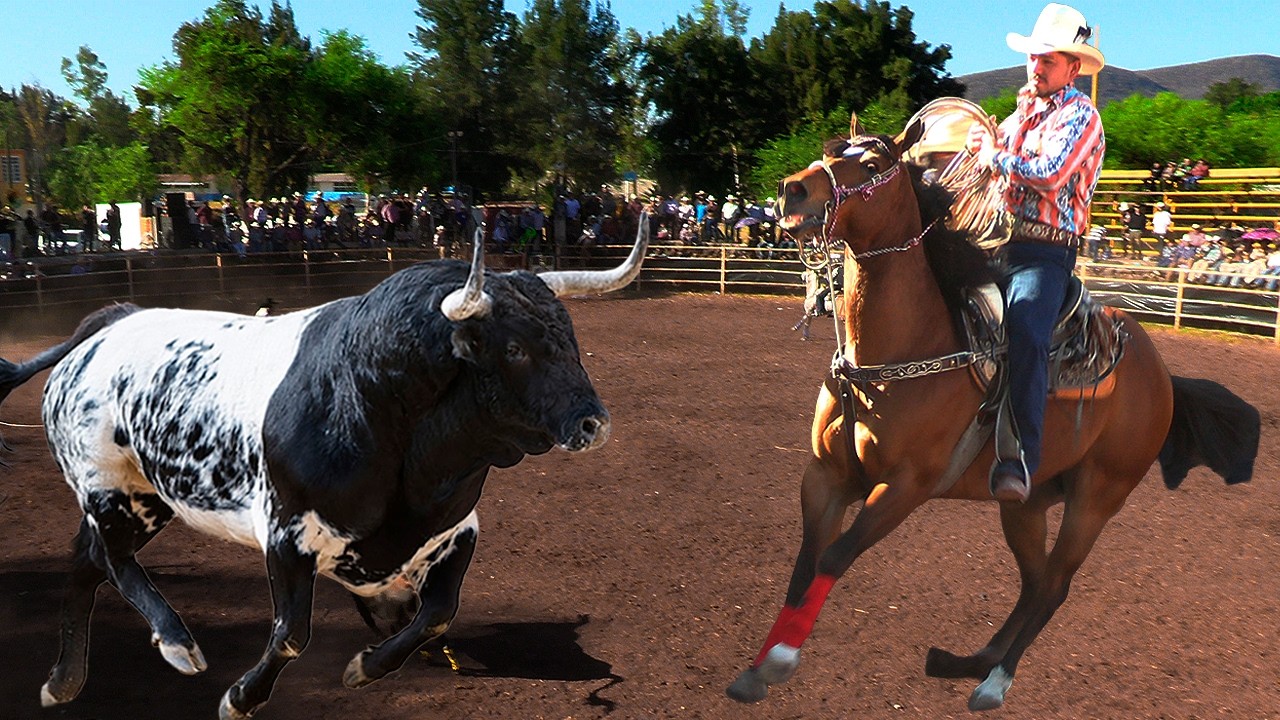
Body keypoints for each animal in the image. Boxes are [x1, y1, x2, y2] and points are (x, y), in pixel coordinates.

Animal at [726, 112, 1260, 711]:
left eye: (873, 163)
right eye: (830, 149)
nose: (792, 191)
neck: (898, 354)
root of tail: (1162, 375)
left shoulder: (906, 486)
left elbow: (833, 558)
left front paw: (780, 658)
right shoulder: (825, 476)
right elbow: (803, 566)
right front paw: (755, 668)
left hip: (1098, 497)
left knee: (1054, 586)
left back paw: (994, 680)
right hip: (1026, 501)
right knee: (1032, 583)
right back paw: (966, 661)